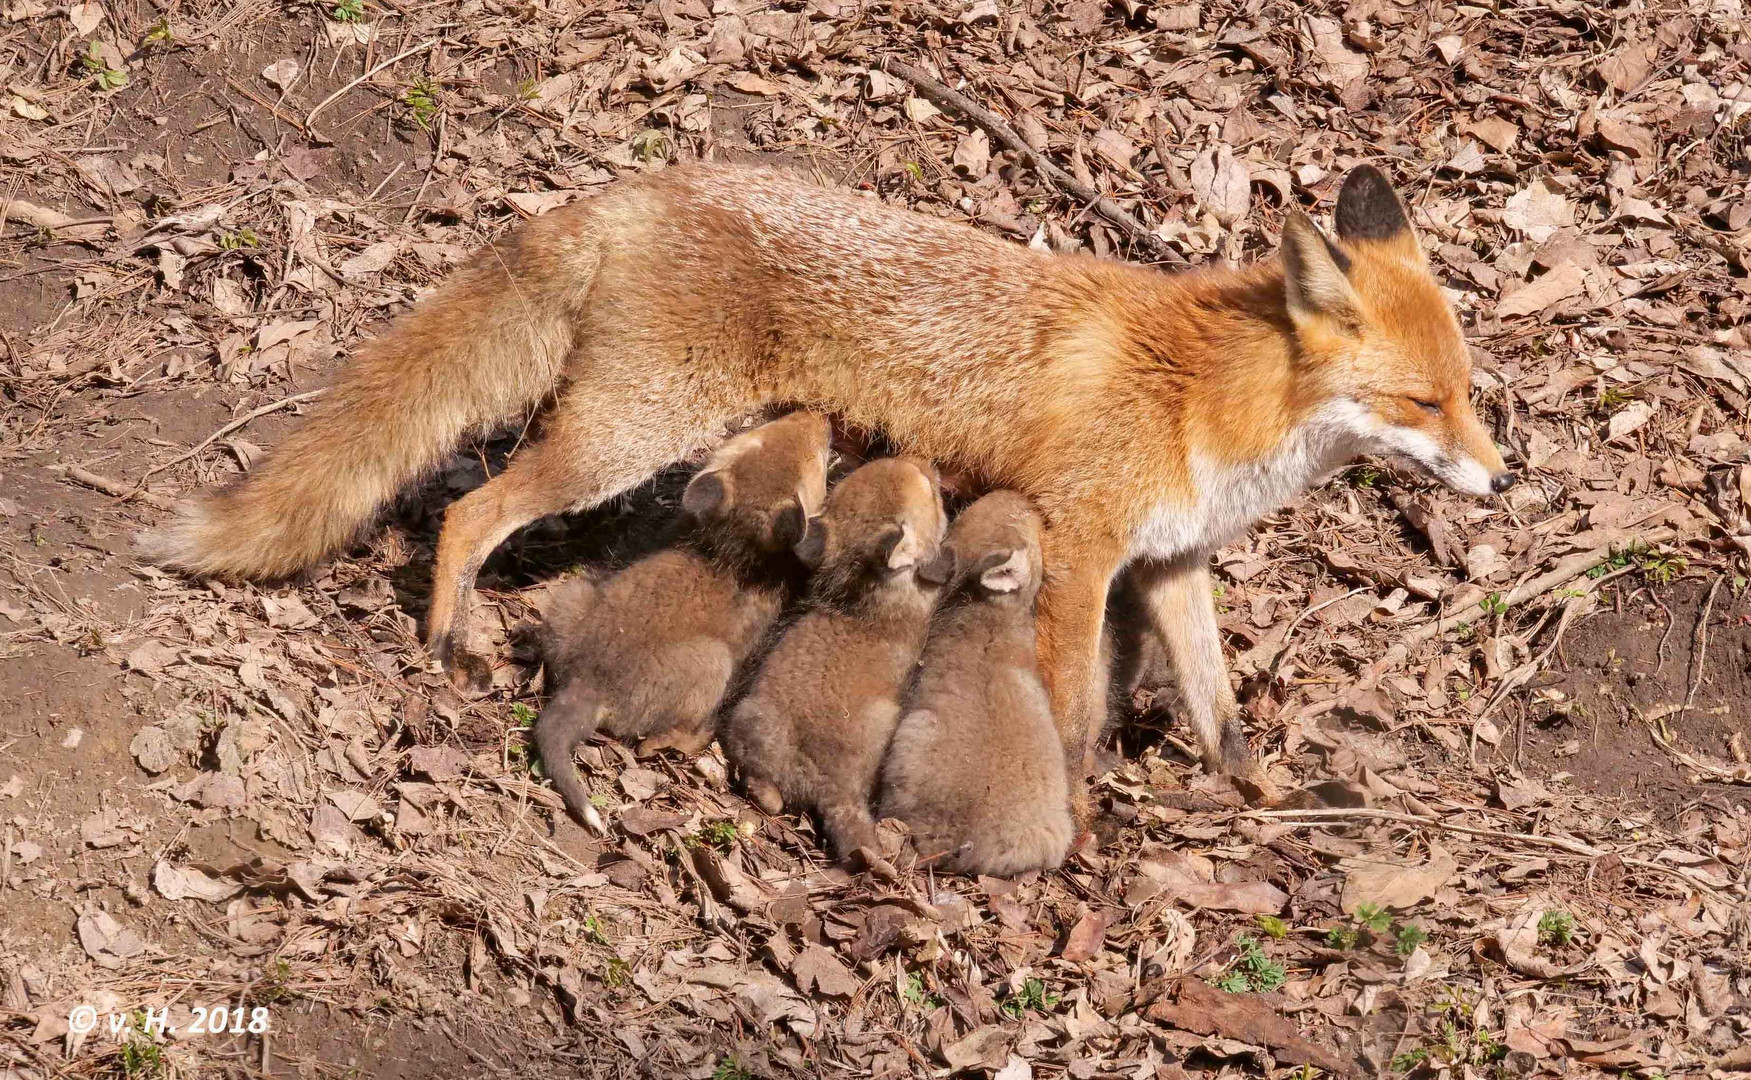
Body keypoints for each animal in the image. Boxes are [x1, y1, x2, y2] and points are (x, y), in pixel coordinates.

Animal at [140, 160, 1505, 784]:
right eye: (1421, 402)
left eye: (1469, 394)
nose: (1500, 485)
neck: (1210, 407)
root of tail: (646, 185)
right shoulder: (1077, 555)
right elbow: (1068, 709)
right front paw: (1075, 820)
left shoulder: (1166, 563)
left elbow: (1216, 708)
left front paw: (1244, 787)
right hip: (620, 439)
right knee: (472, 505)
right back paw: (446, 636)